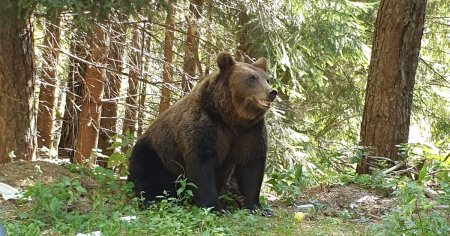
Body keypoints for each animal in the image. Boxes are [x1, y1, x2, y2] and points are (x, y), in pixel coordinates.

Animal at [127, 52, 278, 211]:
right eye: (251, 78)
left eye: (267, 79)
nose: (272, 92)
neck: (233, 117)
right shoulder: (206, 123)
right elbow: (202, 163)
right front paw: (215, 207)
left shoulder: (250, 130)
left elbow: (252, 164)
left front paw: (257, 206)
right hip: (155, 153)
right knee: (148, 176)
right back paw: (153, 200)